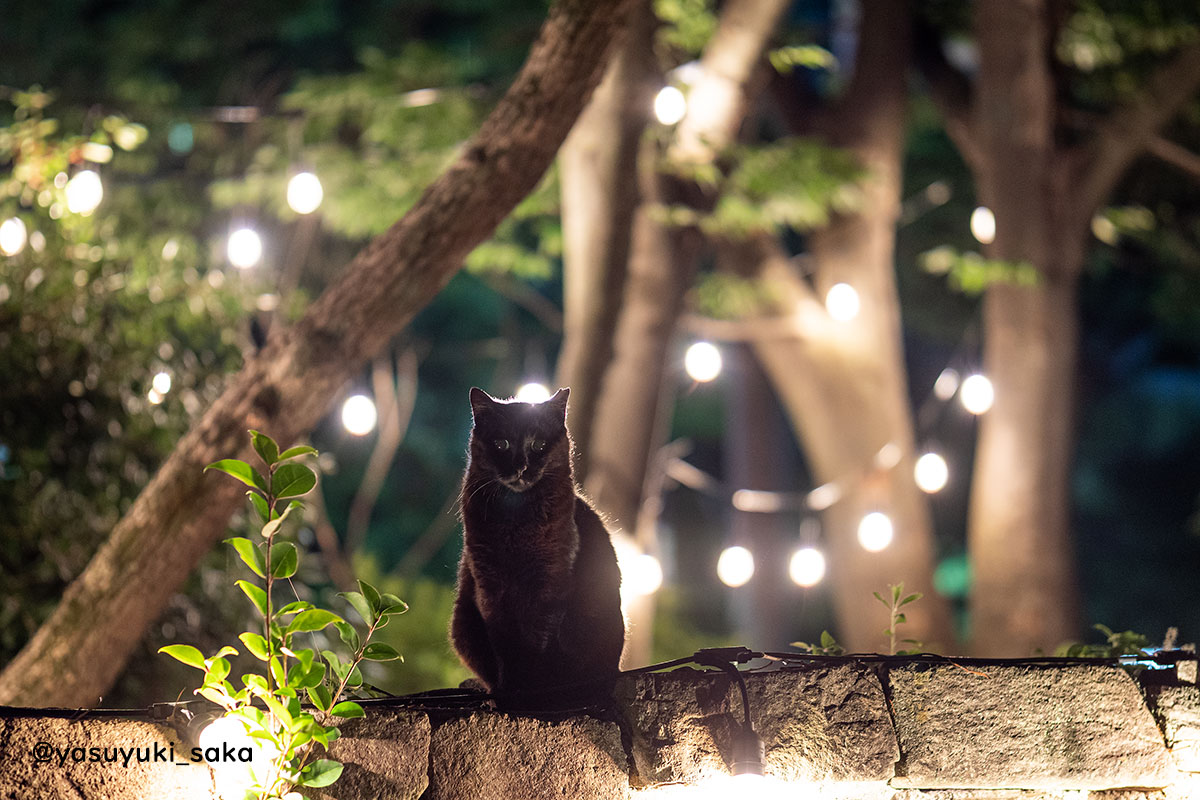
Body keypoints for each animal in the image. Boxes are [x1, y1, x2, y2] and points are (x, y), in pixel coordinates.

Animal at [451, 388, 628, 714]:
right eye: (501, 443)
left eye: (539, 445)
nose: (521, 466)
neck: (517, 522)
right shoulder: (490, 589)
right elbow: (506, 648)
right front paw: (510, 693)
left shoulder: (549, 587)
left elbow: (537, 645)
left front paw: (534, 698)